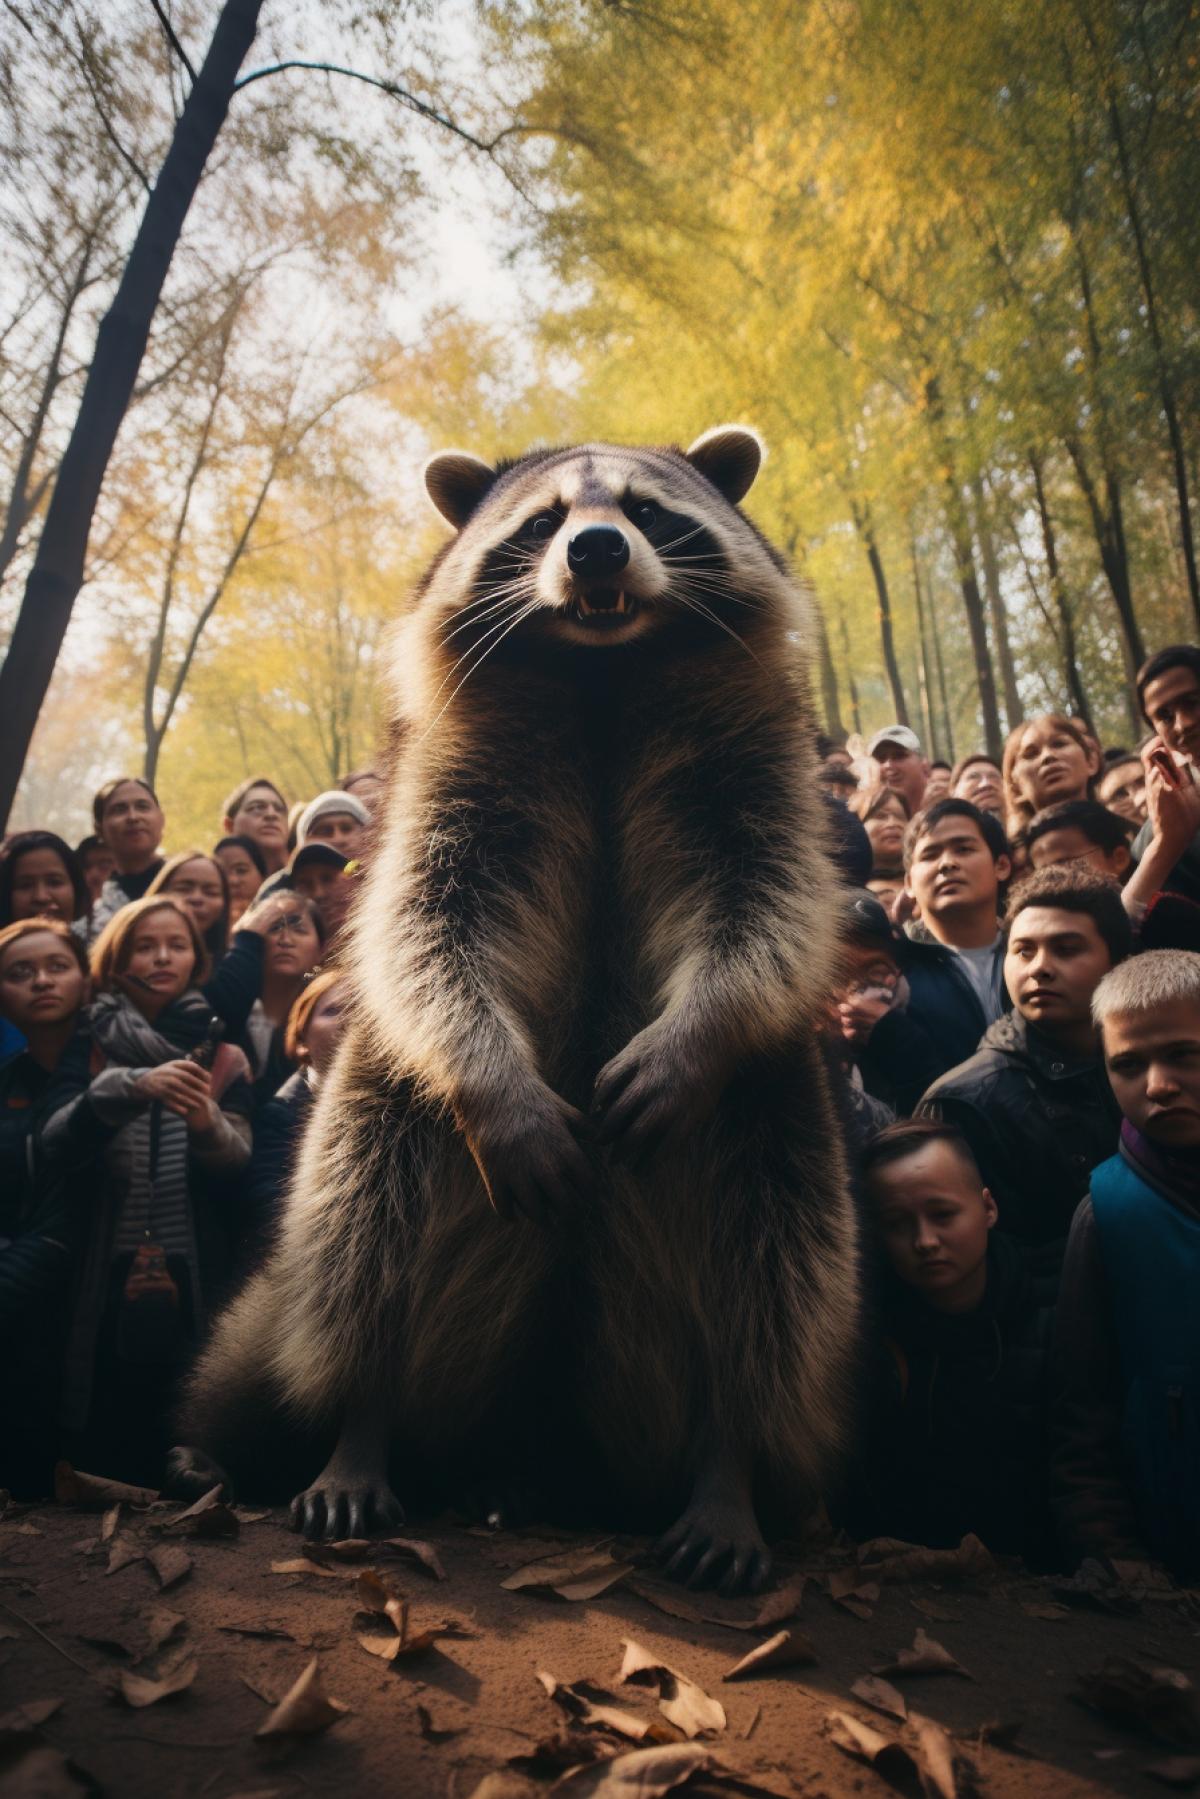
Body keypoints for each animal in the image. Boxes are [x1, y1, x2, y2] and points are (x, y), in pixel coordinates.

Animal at [173, 426, 860, 1593]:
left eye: (643, 508)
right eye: (543, 521)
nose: (595, 551)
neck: (603, 675)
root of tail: (541, 1433)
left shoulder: (760, 779)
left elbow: (766, 909)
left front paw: (695, 1033)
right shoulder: (444, 788)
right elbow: (423, 931)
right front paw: (493, 1082)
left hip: (781, 1108)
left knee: (773, 1254)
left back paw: (727, 1459)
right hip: (377, 1108)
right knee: (366, 1203)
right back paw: (360, 1423)